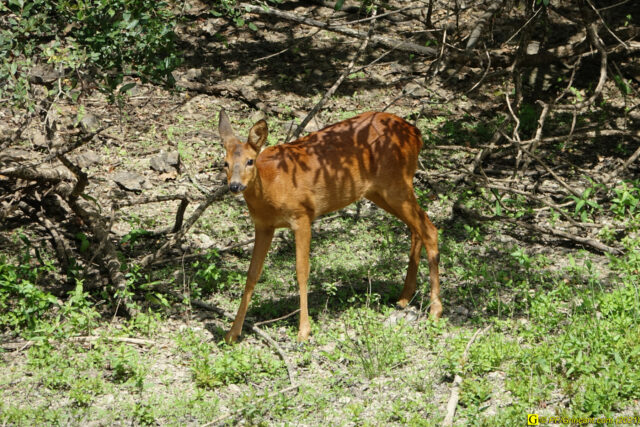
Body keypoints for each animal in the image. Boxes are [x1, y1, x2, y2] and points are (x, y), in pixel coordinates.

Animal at [219, 111, 440, 344]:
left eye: (250, 161)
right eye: (225, 163)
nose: (235, 186)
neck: (272, 187)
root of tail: (415, 133)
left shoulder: (302, 215)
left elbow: (302, 270)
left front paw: (303, 332)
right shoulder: (263, 225)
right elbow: (252, 274)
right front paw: (232, 333)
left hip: (396, 184)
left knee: (429, 229)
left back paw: (435, 311)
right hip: (381, 191)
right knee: (417, 229)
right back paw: (405, 297)